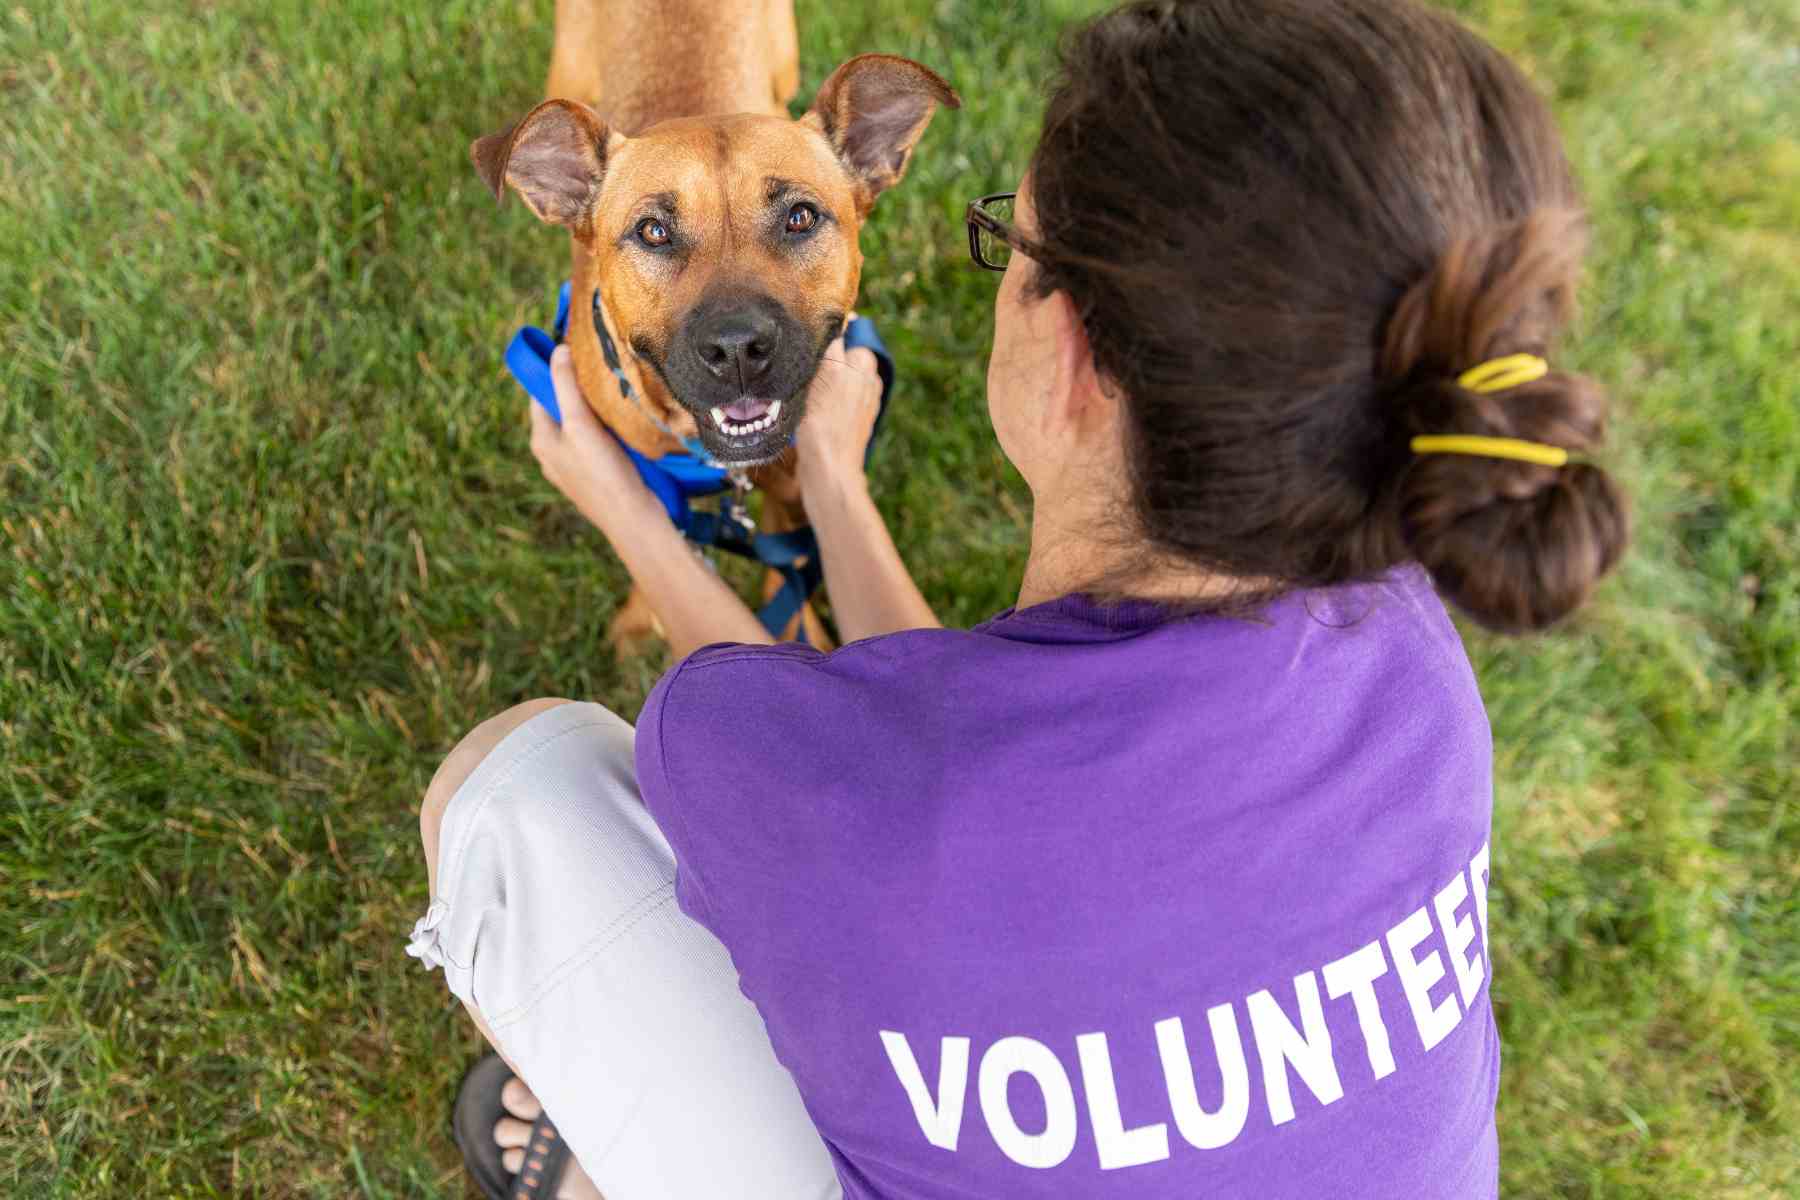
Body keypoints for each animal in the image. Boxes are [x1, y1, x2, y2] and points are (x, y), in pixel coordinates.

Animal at [475, 0, 957, 651]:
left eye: (800, 218)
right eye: (653, 231)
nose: (737, 349)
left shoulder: (794, 484)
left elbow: (788, 558)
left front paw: (798, 630)